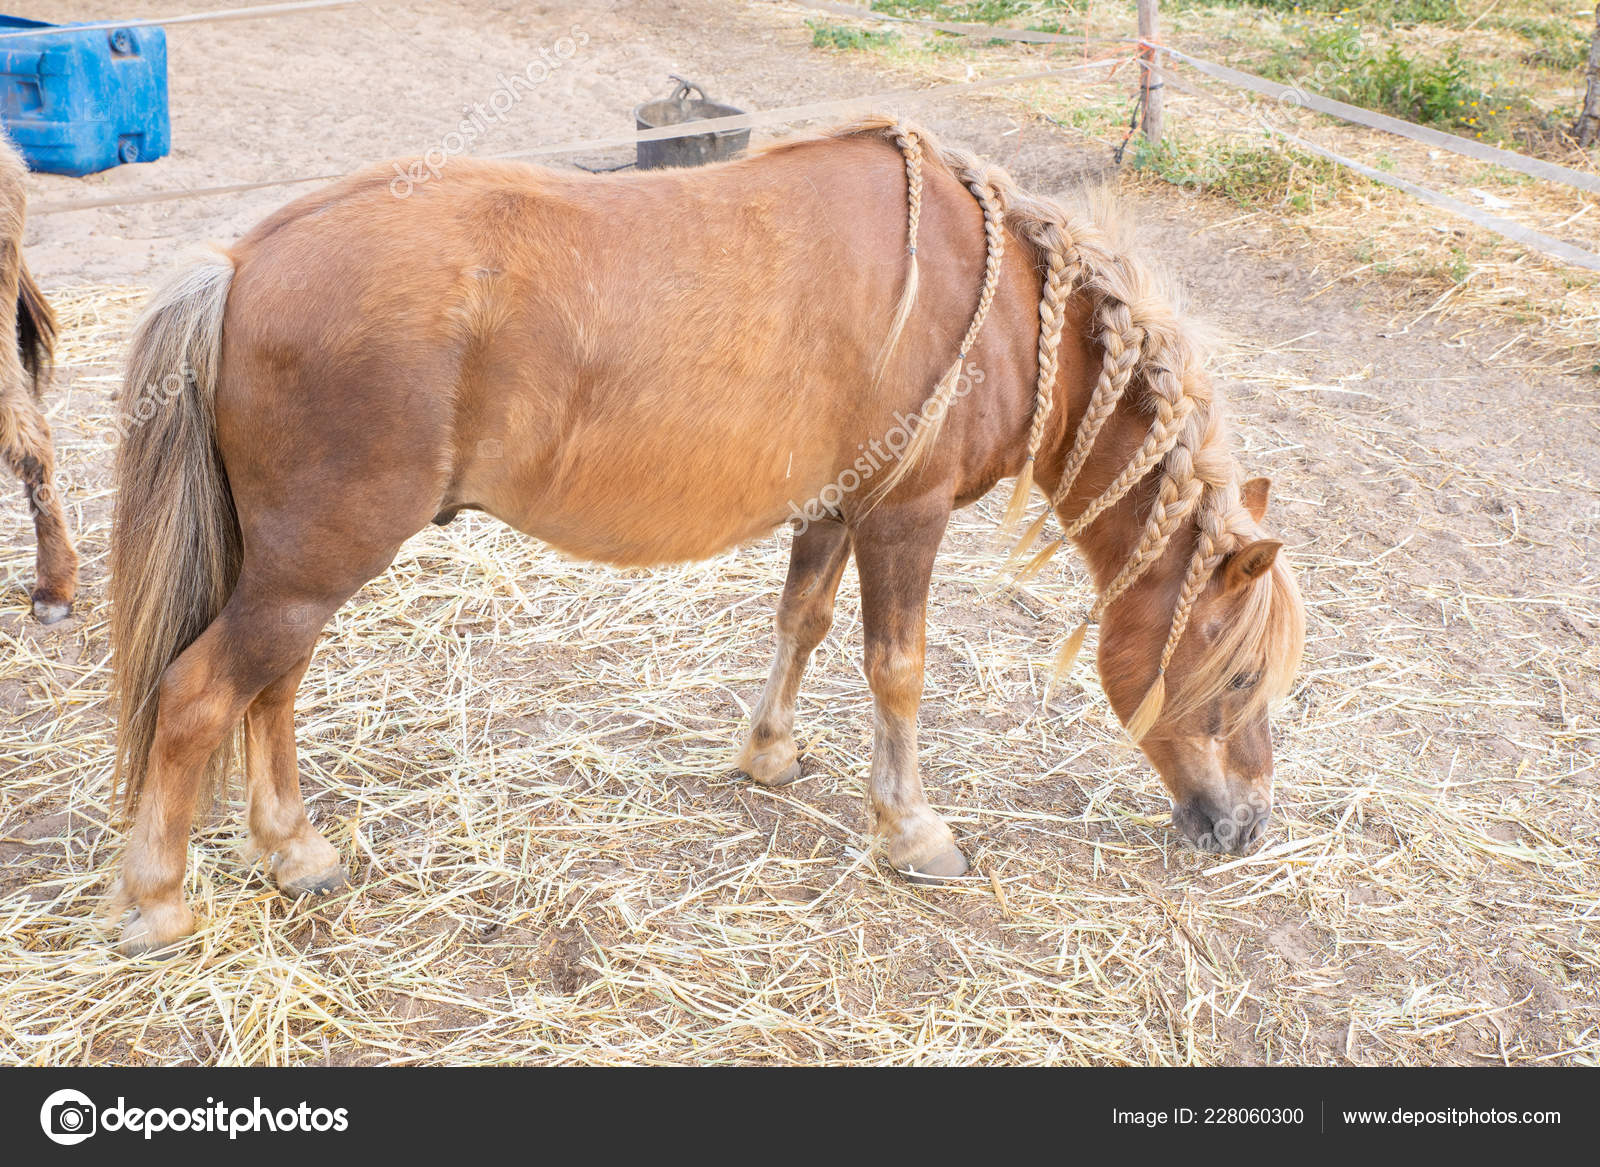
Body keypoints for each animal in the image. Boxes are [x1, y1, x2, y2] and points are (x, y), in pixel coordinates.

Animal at [107, 117, 1304, 955]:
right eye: (1241, 681)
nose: (1245, 824)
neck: (1001, 297)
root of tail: (243, 260)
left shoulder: (834, 513)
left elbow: (802, 622)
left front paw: (767, 754)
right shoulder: (903, 519)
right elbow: (897, 670)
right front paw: (913, 831)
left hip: (298, 572)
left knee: (269, 692)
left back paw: (293, 853)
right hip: (313, 567)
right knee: (203, 694)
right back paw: (159, 902)